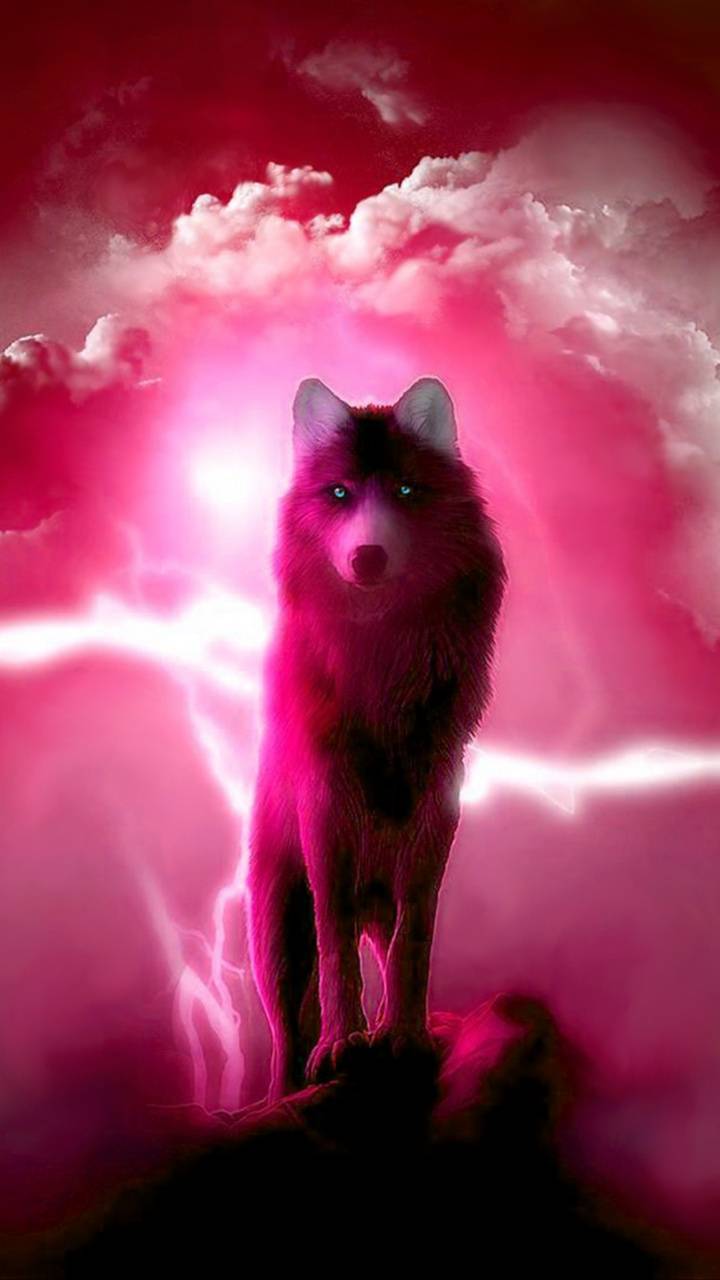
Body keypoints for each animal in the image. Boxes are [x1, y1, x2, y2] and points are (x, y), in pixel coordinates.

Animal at [247, 376, 506, 1101]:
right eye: (340, 494)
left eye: (406, 492)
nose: (368, 556)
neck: (382, 655)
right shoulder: (326, 804)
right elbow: (337, 945)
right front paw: (343, 1045)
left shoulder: (439, 797)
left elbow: (413, 941)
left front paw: (407, 1038)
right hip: (277, 939)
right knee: (285, 1036)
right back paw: (286, 1090)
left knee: (387, 948)